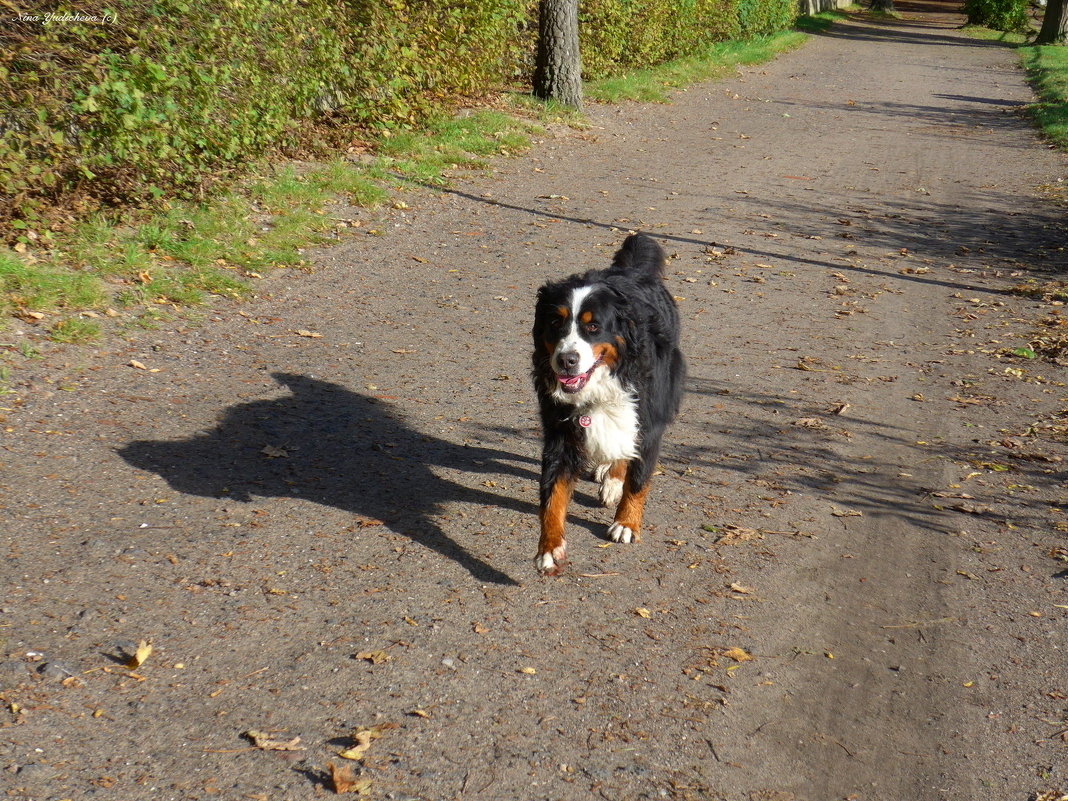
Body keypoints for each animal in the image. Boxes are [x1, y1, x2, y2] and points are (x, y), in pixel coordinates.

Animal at [531, 233, 683, 576]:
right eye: (555, 323)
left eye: (592, 326)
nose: (566, 360)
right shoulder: (560, 434)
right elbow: (553, 494)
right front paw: (550, 548)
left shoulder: (649, 423)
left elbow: (638, 481)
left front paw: (627, 523)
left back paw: (614, 481)